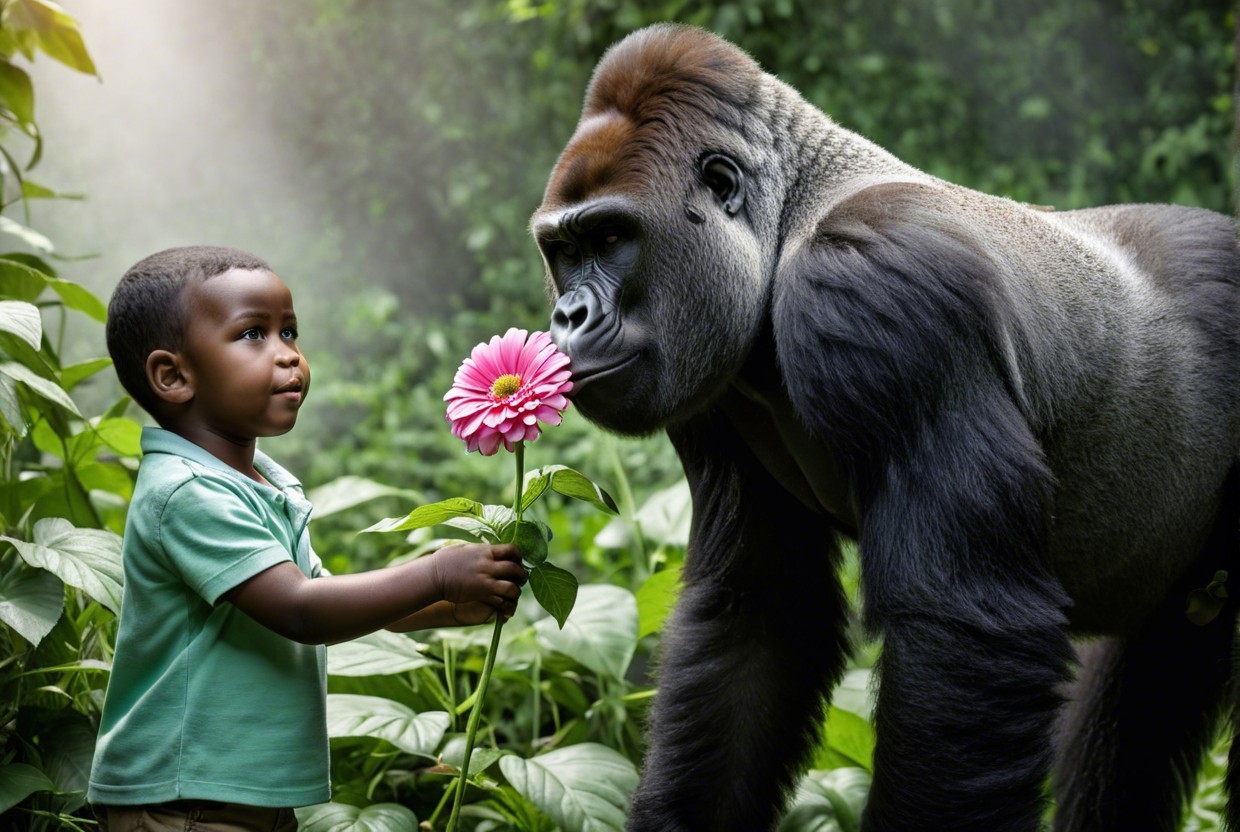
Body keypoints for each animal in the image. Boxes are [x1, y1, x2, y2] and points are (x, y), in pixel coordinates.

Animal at [530, 23, 1240, 832]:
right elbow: (757, 618)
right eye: (564, 250)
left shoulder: (876, 290)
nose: (567, 316)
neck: (788, 222)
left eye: (611, 237)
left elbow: (959, 632)